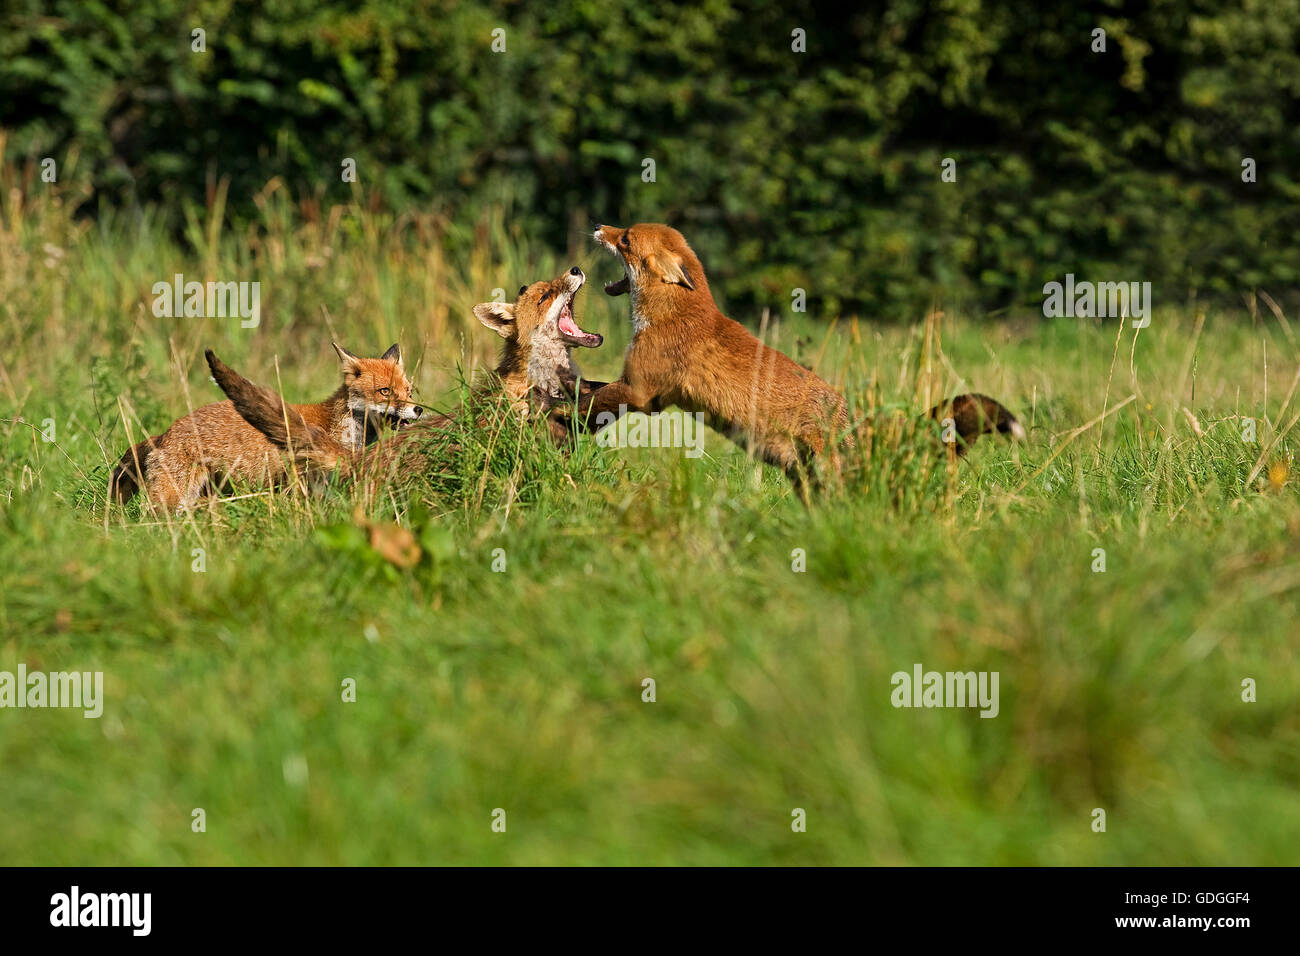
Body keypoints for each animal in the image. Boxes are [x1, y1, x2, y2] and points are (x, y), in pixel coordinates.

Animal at [109, 343, 421, 512]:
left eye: (409, 392)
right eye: (384, 391)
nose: (418, 409)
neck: (338, 426)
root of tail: (164, 433)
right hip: (174, 497)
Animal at [557, 222, 1023, 494]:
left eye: (625, 238)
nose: (599, 226)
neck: (673, 313)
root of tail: (856, 422)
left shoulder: (639, 391)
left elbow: (587, 403)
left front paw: (559, 415)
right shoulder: (653, 399)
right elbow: (592, 399)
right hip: (804, 478)